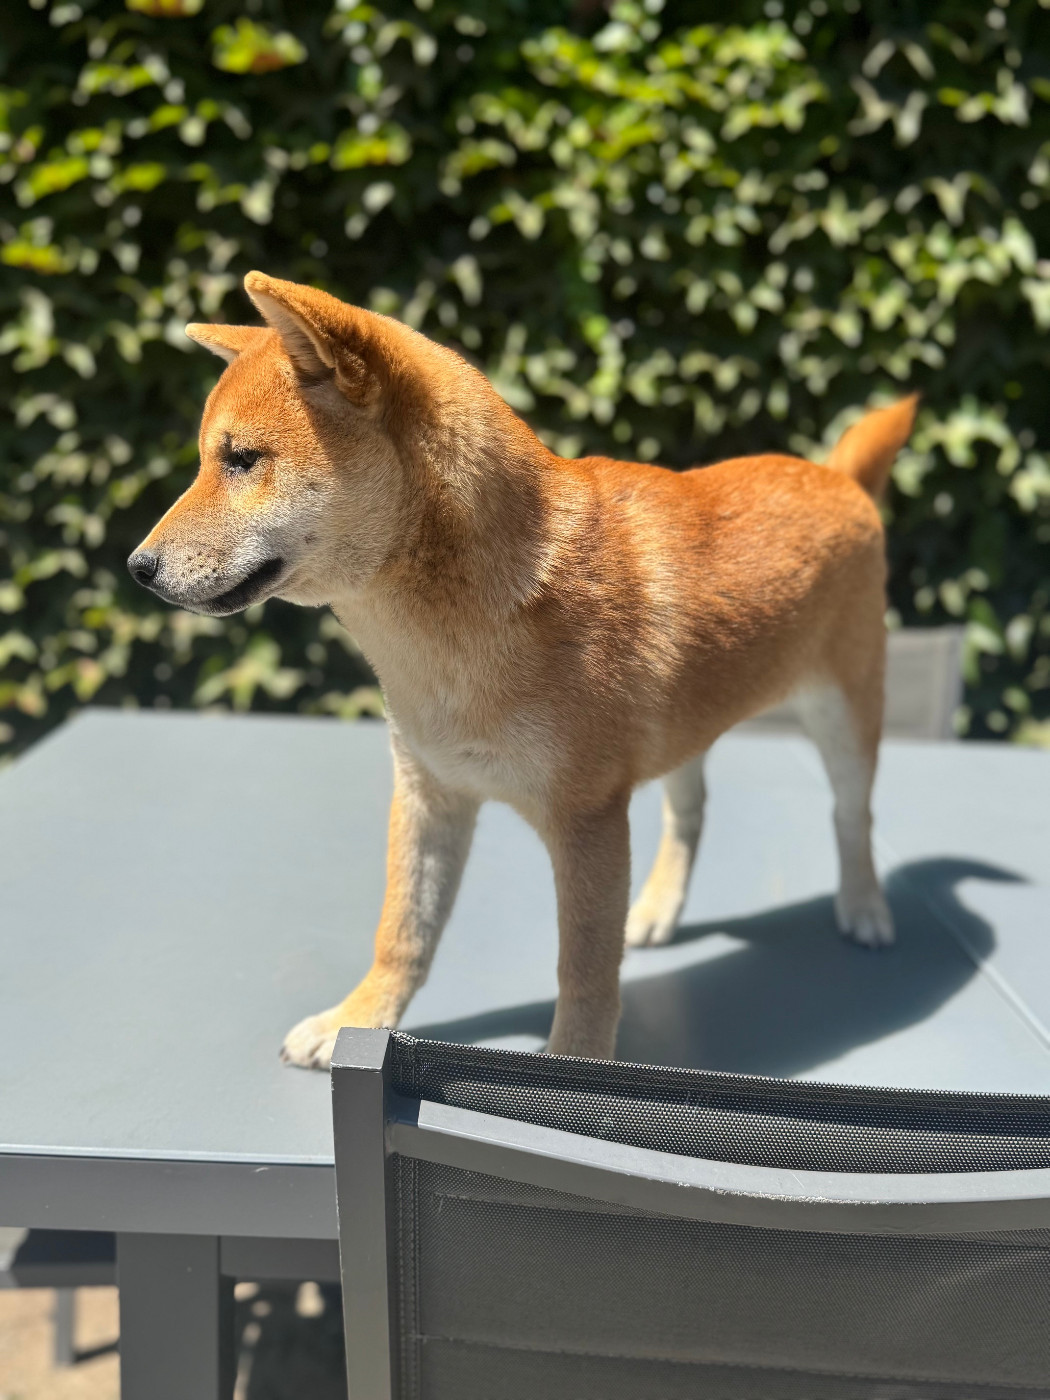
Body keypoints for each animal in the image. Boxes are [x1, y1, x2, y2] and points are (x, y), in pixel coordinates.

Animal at [129, 271, 917, 1069]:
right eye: (207, 459)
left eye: (242, 459)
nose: (137, 568)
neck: (448, 633)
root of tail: (836, 477)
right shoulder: (428, 795)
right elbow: (403, 933)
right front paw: (357, 1017)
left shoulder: (587, 821)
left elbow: (585, 973)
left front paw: (574, 1069)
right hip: (684, 729)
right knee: (690, 811)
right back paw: (660, 907)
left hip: (845, 719)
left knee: (853, 816)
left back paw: (865, 907)